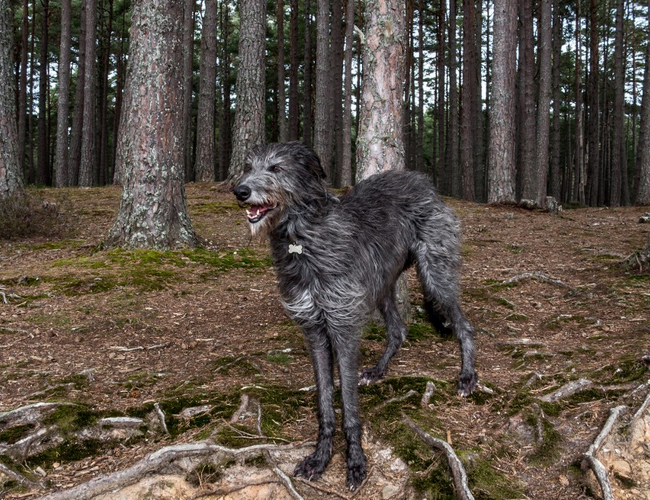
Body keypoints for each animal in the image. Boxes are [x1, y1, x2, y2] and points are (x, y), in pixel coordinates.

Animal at [233, 143, 476, 490]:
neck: (302, 240)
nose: (240, 191)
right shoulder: (314, 329)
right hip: (382, 283)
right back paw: (377, 371)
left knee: (464, 325)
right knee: (398, 330)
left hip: (434, 273)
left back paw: (467, 377)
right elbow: (325, 401)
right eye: (247, 167)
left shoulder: (343, 326)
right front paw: (320, 457)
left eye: (276, 168)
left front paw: (356, 462)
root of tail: (422, 181)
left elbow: (348, 405)